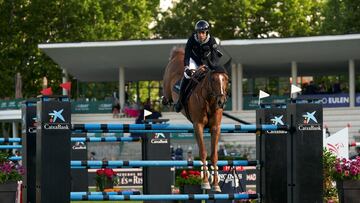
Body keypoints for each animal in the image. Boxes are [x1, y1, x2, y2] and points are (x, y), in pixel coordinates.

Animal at [162, 47, 228, 192]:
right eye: (213, 79)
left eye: (226, 79)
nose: (221, 102)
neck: (209, 99)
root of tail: (178, 54)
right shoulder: (198, 126)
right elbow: (203, 152)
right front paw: (205, 183)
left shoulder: (215, 128)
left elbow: (214, 155)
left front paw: (216, 185)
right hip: (168, 87)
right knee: (166, 95)